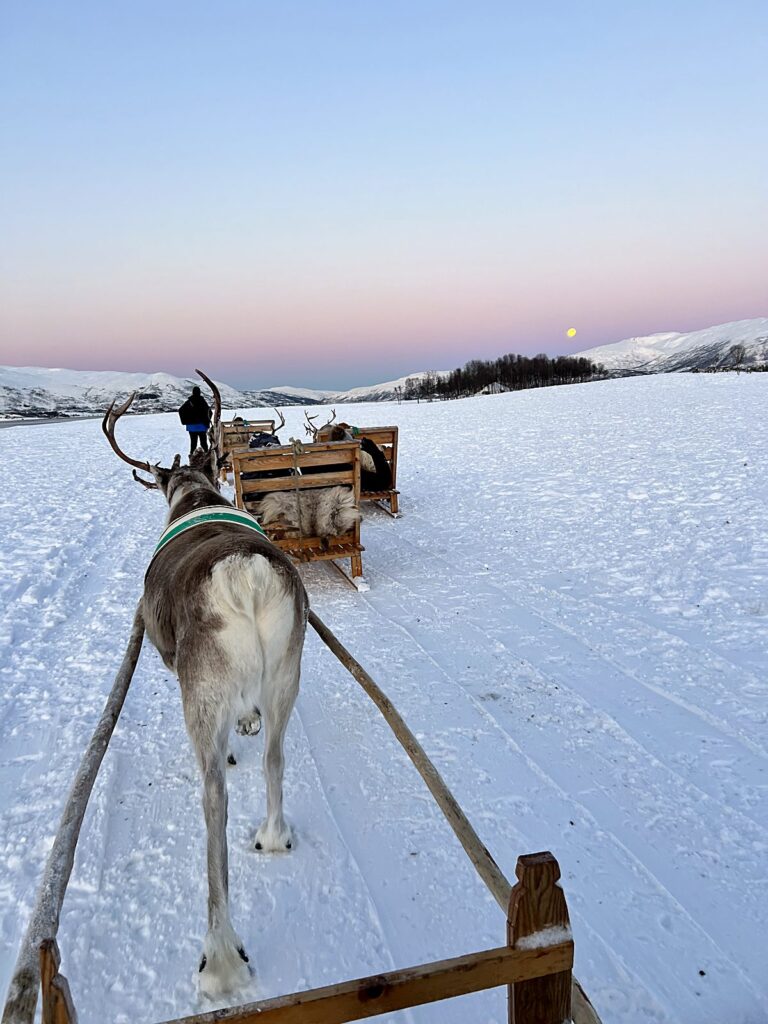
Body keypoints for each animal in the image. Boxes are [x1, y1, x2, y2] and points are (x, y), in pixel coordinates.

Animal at [102, 370, 307, 998]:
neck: (193, 495)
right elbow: (252, 724)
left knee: (213, 798)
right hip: (289, 669)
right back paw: (273, 835)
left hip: (202, 689)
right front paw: (247, 722)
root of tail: (245, 575)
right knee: (276, 754)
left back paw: (219, 956)